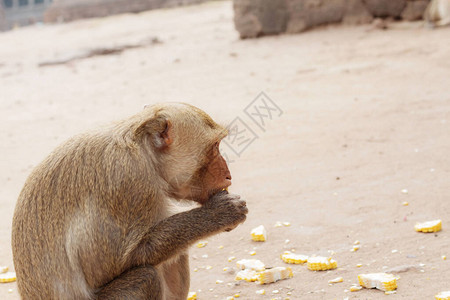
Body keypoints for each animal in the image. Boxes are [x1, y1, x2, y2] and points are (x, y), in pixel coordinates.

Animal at [10, 102, 248, 298]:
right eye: (215, 146)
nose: (228, 175)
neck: (144, 152)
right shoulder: (127, 183)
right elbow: (108, 267)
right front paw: (218, 215)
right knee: (146, 278)